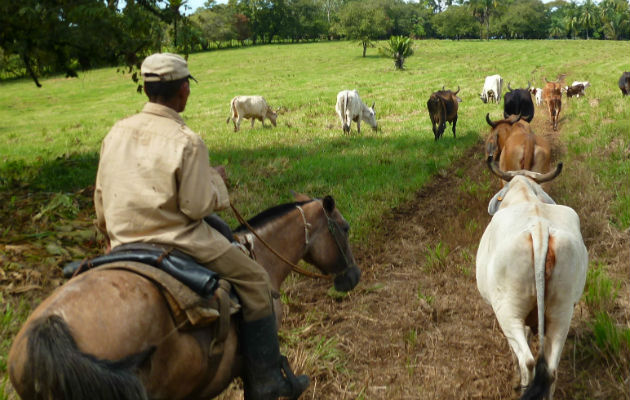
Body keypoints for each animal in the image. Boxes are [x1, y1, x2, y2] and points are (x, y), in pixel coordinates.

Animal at [476, 159, 592, 400]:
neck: (524, 196)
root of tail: (540, 229)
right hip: (562, 312)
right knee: (550, 370)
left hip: (507, 311)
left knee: (528, 360)